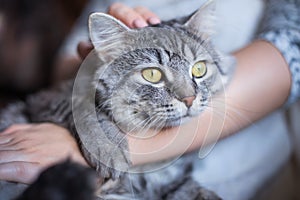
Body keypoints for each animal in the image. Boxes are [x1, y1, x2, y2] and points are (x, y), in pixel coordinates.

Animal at [0, 0, 234, 199]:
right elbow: (84, 108)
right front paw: (108, 148)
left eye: (199, 69)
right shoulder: (47, 99)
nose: (189, 98)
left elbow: (194, 190)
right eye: (152, 74)